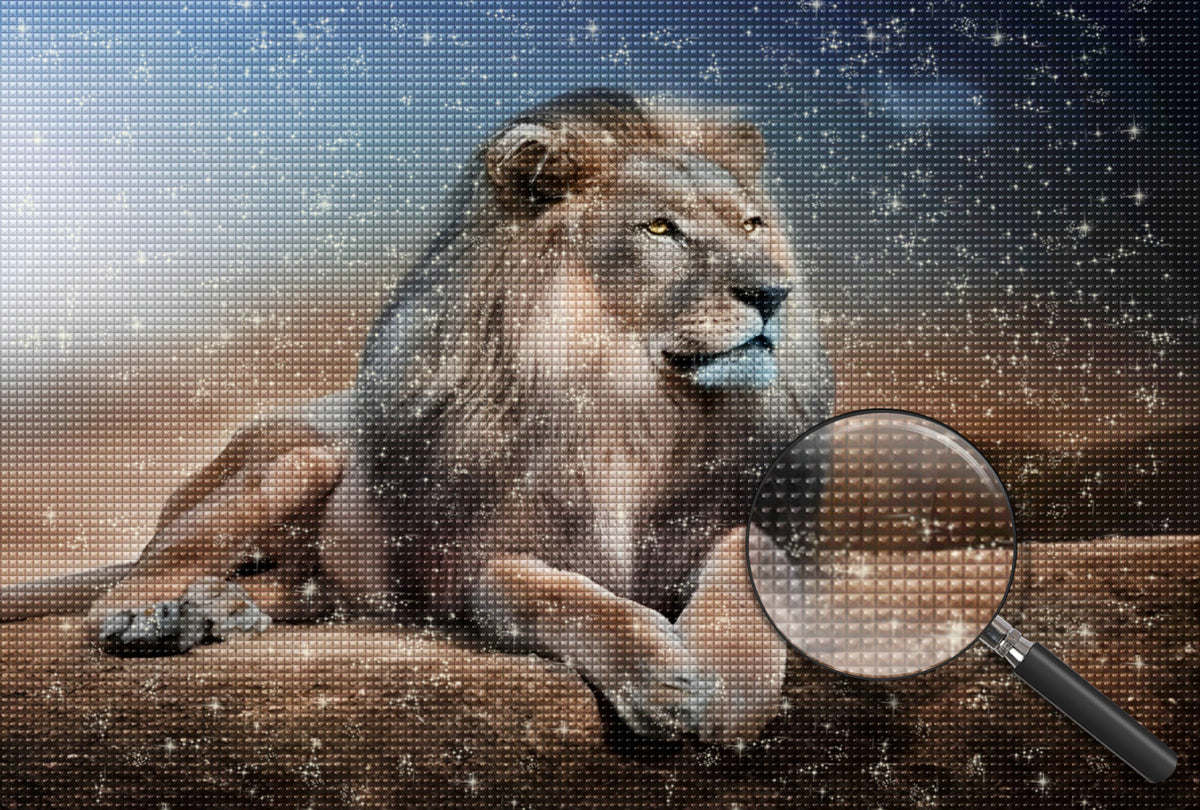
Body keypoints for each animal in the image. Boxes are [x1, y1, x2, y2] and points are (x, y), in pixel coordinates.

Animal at [0, 88, 833, 742]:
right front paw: (661, 678)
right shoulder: (472, 564)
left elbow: (742, 575)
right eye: (660, 229)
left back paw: (221, 610)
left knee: (295, 590)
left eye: (754, 224)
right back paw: (156, 618)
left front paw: (728, 684)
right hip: (303, 459)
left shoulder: (731, 522)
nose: (774, 293)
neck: (634, 410)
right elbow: (541, 592)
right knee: (129, 582)